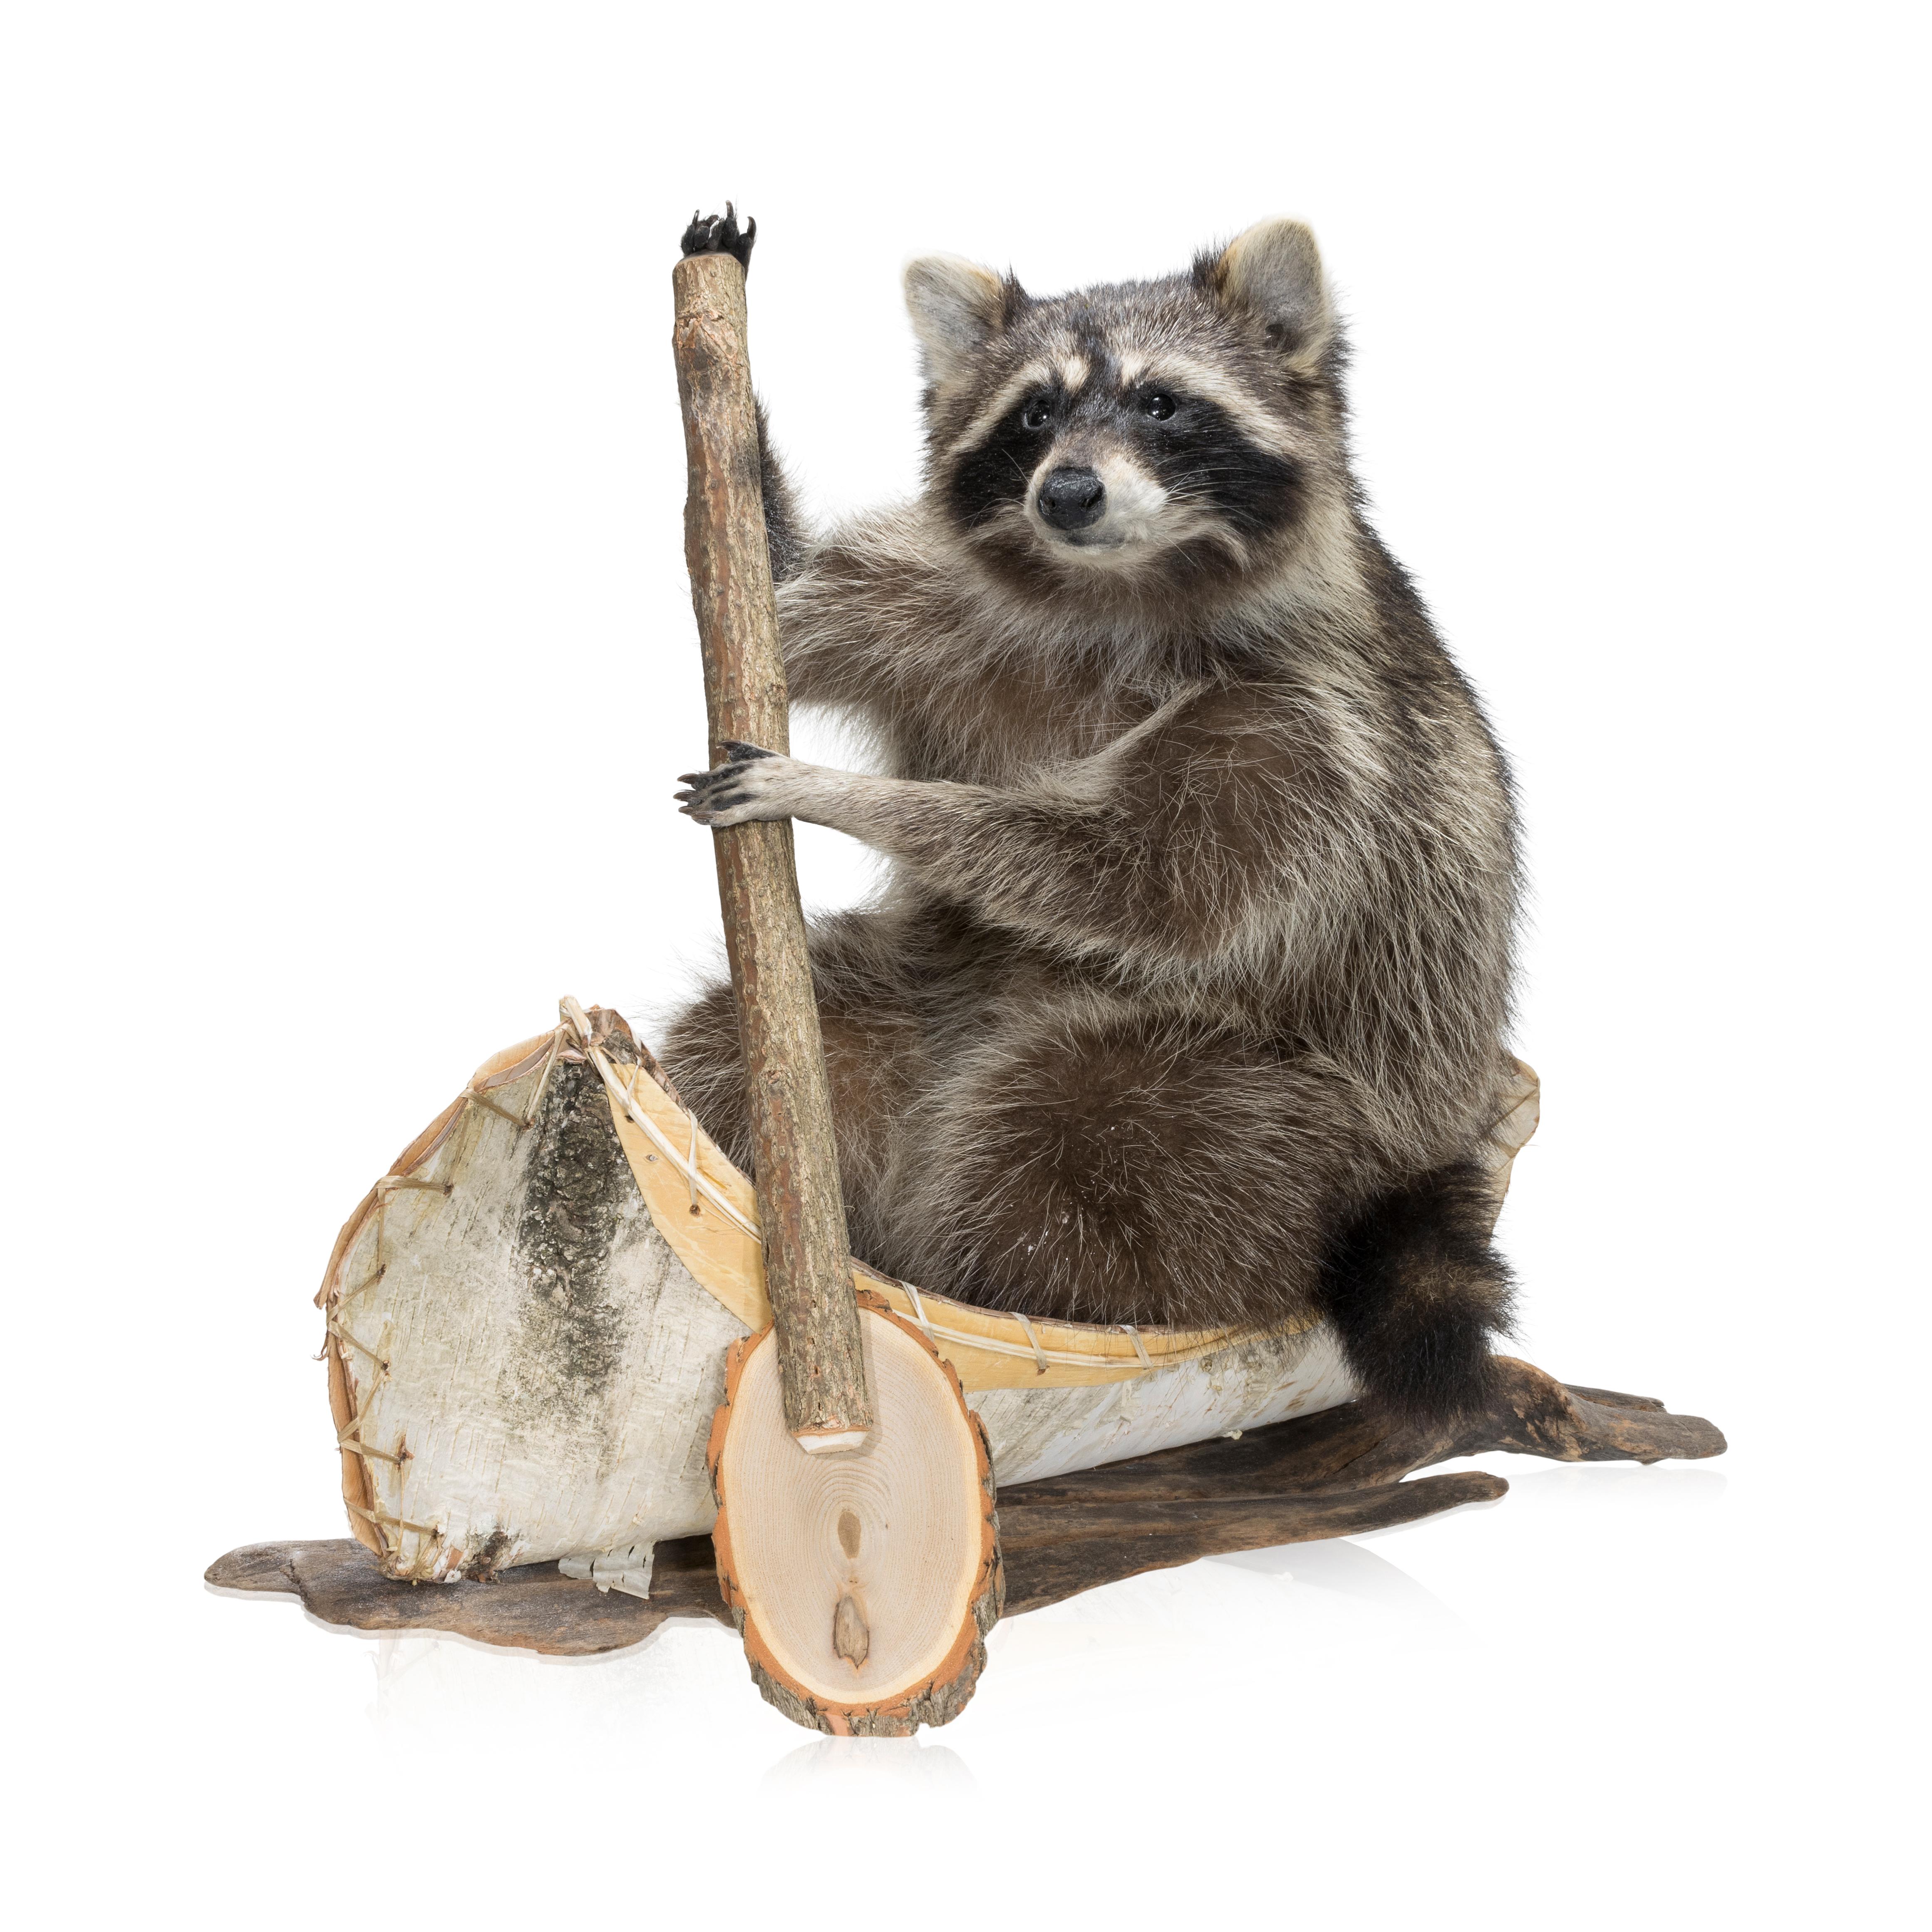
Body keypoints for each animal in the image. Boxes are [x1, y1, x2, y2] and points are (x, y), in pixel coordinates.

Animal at [665, 208, 1522, 1422]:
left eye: (1161, 402)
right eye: (1033, 413)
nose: (1066, 492)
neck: (1117, 584)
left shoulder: (1309, 734)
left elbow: (1149, 888)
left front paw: (861, 797)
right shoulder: (941, 604)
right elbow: (774, 606)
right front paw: (738, 413)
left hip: (1295, 1104)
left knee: (1071, 1137)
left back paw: (991, 1287)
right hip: (918, 982)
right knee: (755, 1044)